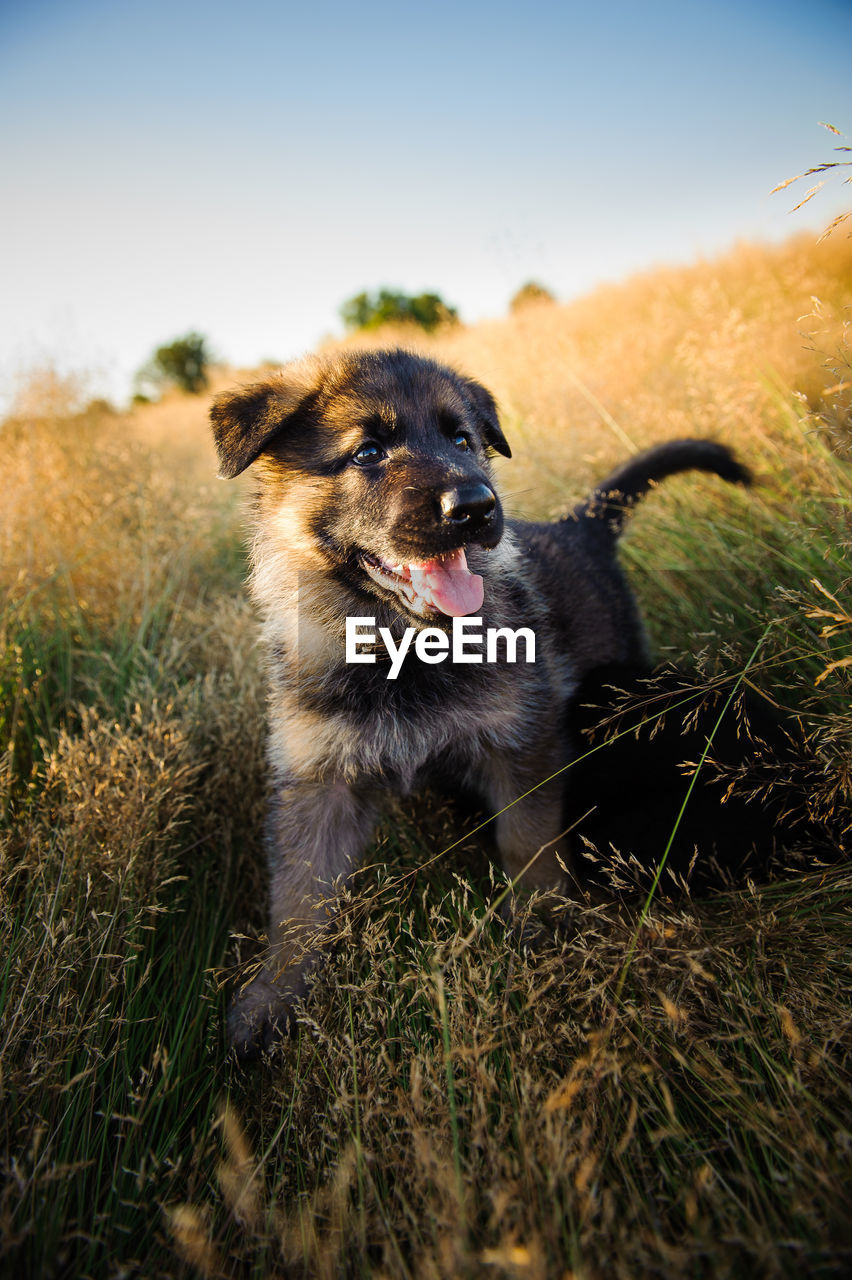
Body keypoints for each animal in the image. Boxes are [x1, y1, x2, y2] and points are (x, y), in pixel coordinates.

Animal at [208, 345, 747, 1054]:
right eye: (367, 452)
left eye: (462, 441)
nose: (477, 506)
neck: (404, 652)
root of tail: (581, 525)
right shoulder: (318, 780)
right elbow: (296, 899)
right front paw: (272, 997)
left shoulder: (522, 745)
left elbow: (528, 842)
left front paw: (542, 926)